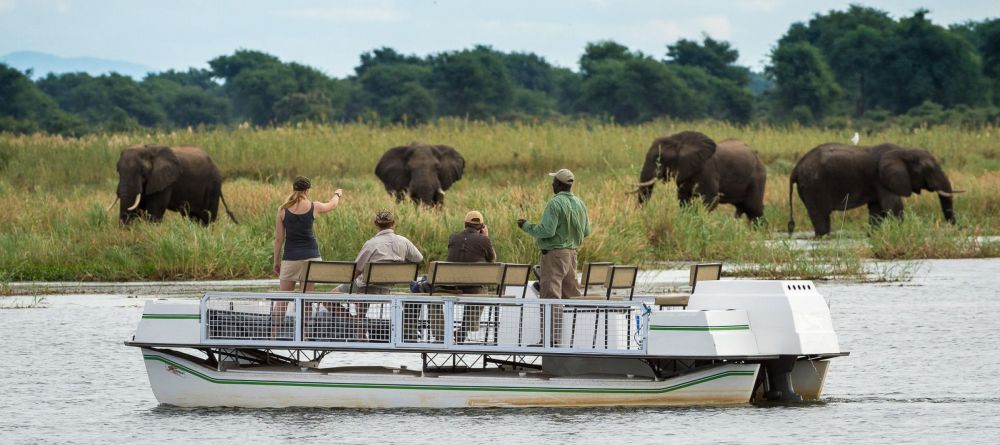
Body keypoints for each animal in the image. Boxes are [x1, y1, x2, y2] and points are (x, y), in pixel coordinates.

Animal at [108, 143, 238, 224]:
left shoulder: (164, 182)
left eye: (143, 172)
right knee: (192, 216)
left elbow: (154, 212)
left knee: (207, 217)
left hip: (213, 185)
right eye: (117, 170)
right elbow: (137, 209)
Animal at [636, 131, 768, 222]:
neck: (677, 140)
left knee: (754, 209)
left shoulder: (707, 169)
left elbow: (711, 199)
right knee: (745, 208)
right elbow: (683, 199)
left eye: (658, 158)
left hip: (757, 178)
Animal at [788, 144, 960, 238]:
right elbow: (894, 206)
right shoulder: (881, 179)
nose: (955, 228)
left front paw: (873, 236)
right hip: (814, 185)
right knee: (820, 216)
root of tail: (796, 168)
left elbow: (877, 210)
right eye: (929, 169)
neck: (903, 151)